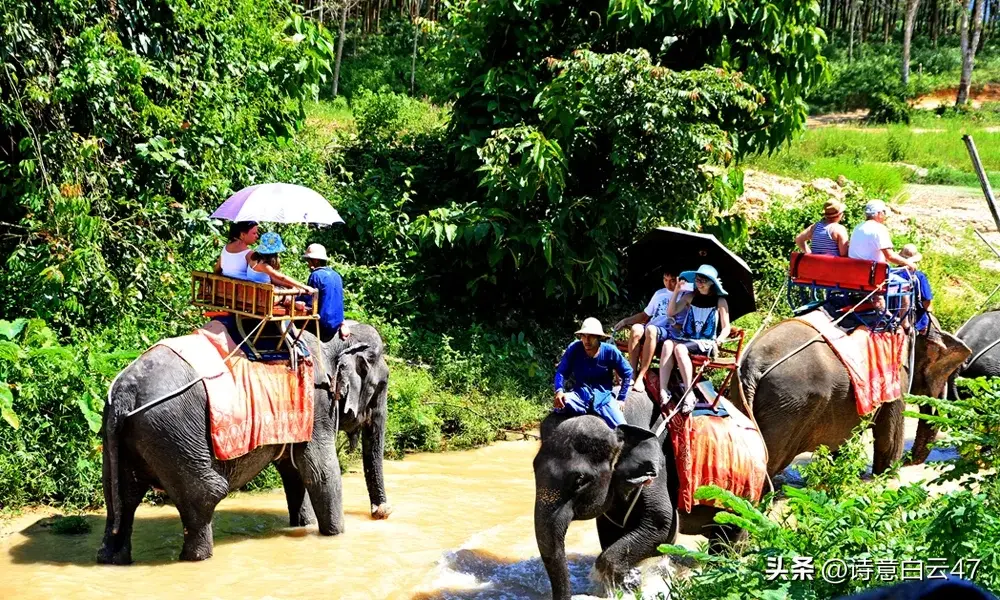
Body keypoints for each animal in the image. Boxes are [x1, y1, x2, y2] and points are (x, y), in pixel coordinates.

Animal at [95, 324, 388, 564]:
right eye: (381, 386)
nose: (380, 513)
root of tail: (123, 394)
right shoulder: (317, 401)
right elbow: (320, 472)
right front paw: (335, 535)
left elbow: (294, 472)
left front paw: (302, 527)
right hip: (173, 434)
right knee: (204, 495)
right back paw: (198, 558)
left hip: (124, 437)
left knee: (121, 498)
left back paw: (112, 560)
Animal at [532, 390, 744, 600]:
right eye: (534, 467)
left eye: (580, 481)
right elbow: (609, 530)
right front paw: (629, 582)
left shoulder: (659, 467)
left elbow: (663, 526)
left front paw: (628, 584)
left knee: (725, 538)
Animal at [744, 316, 968, 476]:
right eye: (940, 370)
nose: (908, 461)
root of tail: (754, 364)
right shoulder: (897, 379)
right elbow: (889, 440)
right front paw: (886, 475)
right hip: (790, 406)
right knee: (772, 463)